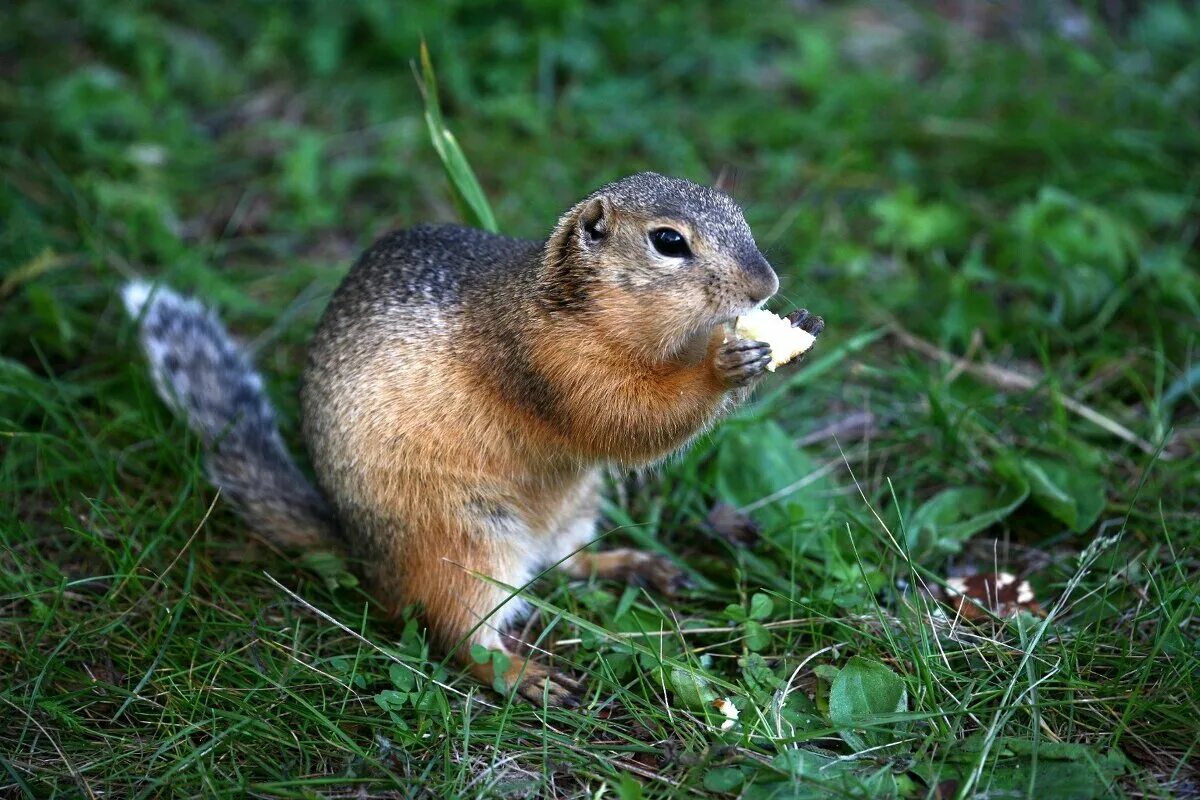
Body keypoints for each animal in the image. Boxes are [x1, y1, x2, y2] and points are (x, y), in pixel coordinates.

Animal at [129, 172, 825, 705]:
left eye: (740, 215)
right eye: (668, 241)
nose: (766, 286)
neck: (564, 304)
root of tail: (364, 554)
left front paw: (797, 324)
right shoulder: (549, 364)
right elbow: (623, 418)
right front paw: (724, 365)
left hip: (574, 509)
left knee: (563, 567)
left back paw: (635, 565)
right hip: (464, 546)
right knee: (460, 635)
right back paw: (526, 676)